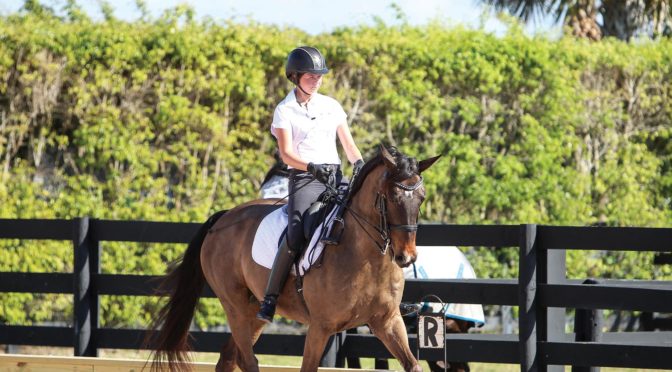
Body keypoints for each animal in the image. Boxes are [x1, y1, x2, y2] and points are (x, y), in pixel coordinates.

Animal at [148, 146, 440, 372]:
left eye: (422, 198)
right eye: (391, 197)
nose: (406, 256)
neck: (367, 259)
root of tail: (223, 218)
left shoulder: (387, 321)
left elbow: (413, 365)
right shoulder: (321, 327)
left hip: (253, 312)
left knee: (230, 358)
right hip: (235, 307)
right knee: (248, 360)